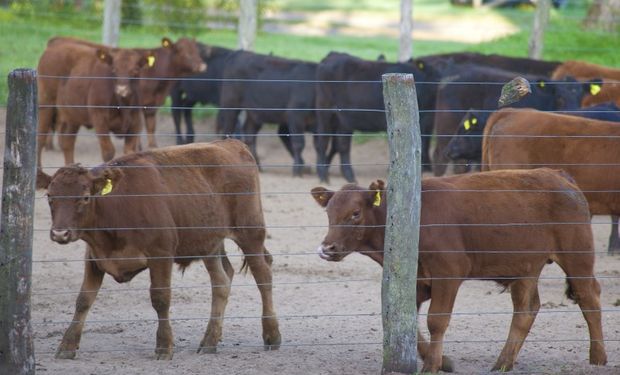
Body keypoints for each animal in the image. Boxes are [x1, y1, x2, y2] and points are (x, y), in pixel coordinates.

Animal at [37, 41, 148, 183]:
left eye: (135, 70)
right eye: (114, 70)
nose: (122, 90)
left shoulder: (136, 121)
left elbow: (130, 151)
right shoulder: (99, 118)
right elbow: (108, 152)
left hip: (72, 116)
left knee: (67, 143)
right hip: (46, 104)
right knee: (40, 139)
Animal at [40, 139, 278, 362]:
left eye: (85, 197)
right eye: (50, 196)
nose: (60, 233)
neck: (117, 206)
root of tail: (230, 143)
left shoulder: (161, 254)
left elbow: (160, 298)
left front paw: (164, 347)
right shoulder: (94, 258)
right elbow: (83, 300)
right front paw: (67, 346)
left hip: (250, 233)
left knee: (263, 276)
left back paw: (272, 335)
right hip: (209, 242)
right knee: (221, 280)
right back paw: (210, 341)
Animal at [310, 170, 604, 374]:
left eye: (355, 213)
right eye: (329, 214)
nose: (327, 248)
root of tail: (559, 175)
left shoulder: (448, 274)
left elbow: (436, 321)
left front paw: (432, 365)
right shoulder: (416, 282)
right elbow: (407, 320)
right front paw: (444, 361)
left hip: (577, 257)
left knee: (589, 299)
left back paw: (598, 357)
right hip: (526, 267)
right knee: (526, 310)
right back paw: (502, 362)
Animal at [314, 51, 440, 184]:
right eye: (437, 77)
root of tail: (333, 55)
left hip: (342, 119)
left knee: (341, 144)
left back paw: (347, 175)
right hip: (325, 111)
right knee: (323, 140)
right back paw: (323, 175)